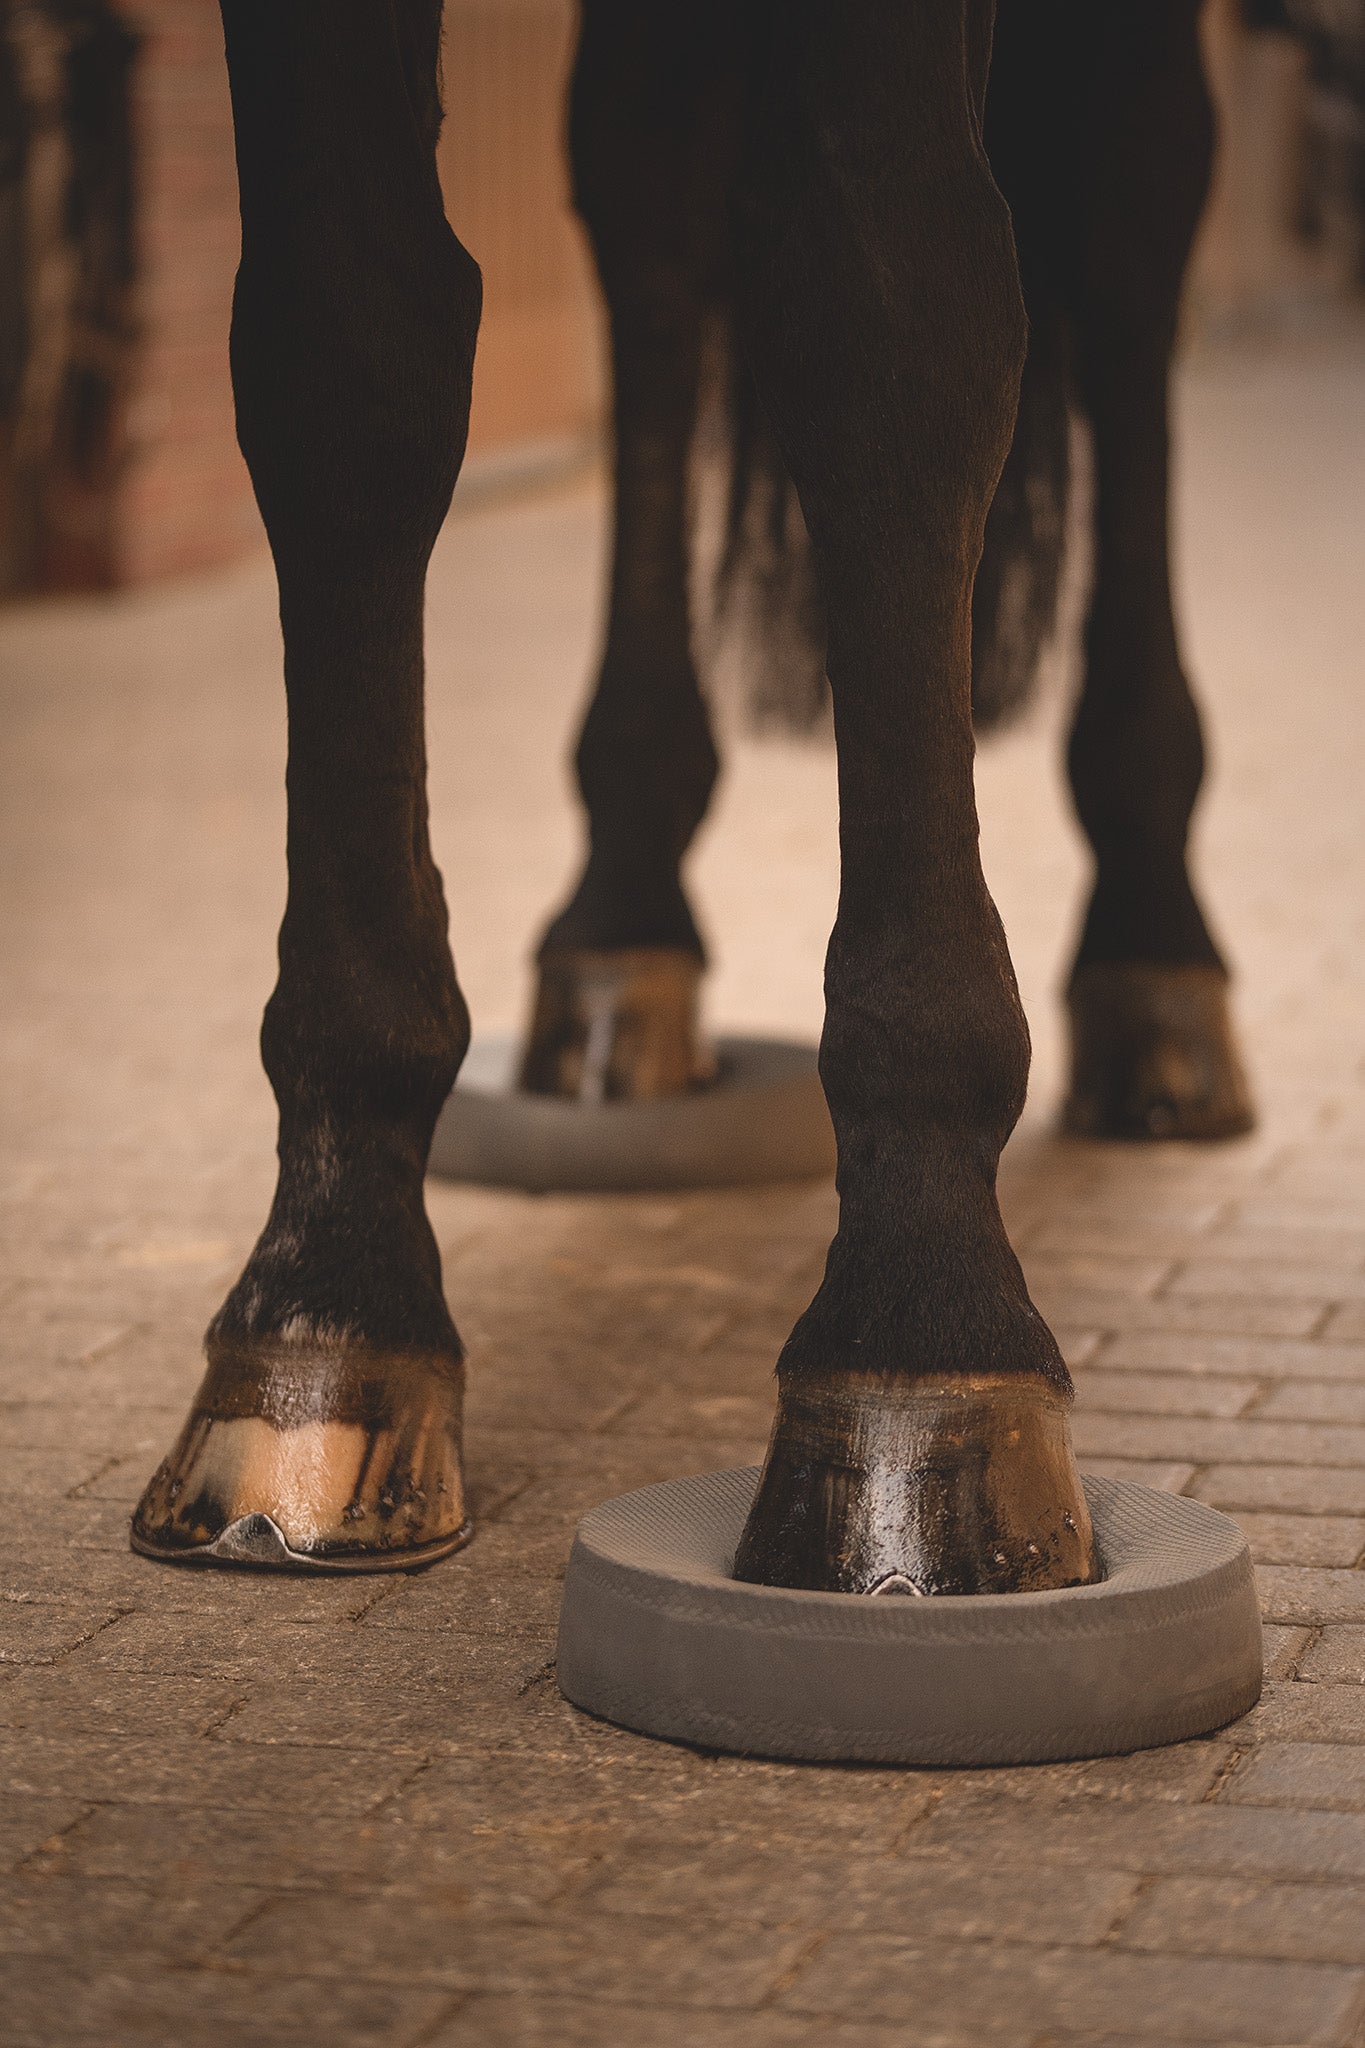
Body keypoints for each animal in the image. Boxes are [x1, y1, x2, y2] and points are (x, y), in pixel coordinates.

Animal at [131, 0, 1255, 1599]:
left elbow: (893, 314)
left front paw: (921, 1338)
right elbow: (345, 355)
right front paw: (323, 1324)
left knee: (1133, 222)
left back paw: (1157, 968)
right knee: (646, 202)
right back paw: (622, 930)